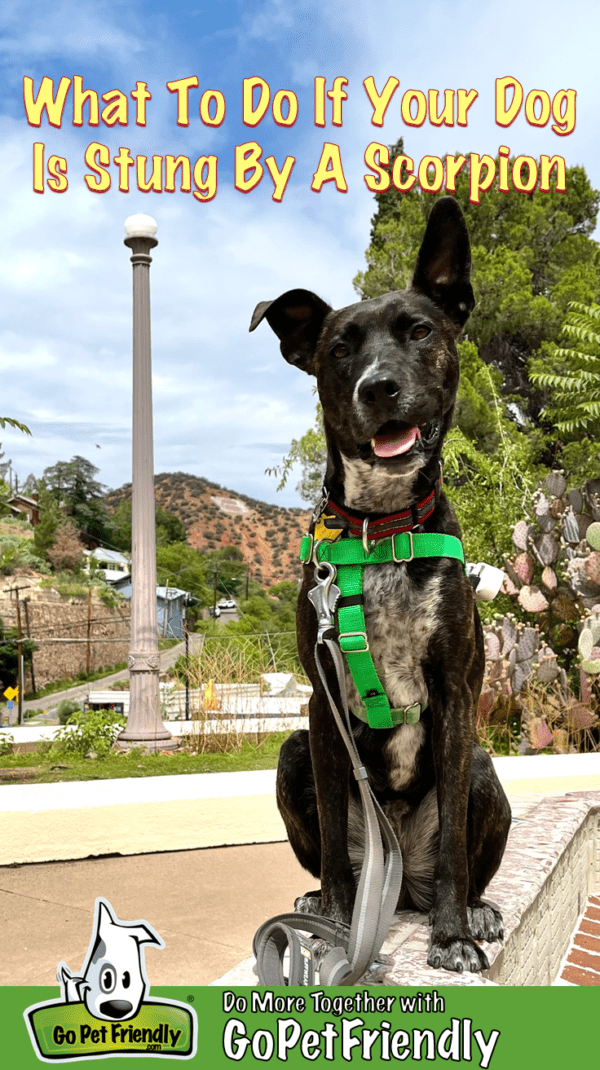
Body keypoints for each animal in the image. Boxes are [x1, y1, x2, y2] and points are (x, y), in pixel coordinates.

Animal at [248, 196, 509, 975]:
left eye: (419, 330)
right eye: (340, 349)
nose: (379, 386)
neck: (379, 527)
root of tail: (399, 889)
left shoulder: (455, 693)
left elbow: (454, 845)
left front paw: (451, 937)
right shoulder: (321, 706)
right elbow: (336, 842)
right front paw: (333, 924)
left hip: (481, 764)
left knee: (462, 860)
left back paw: (472, 910)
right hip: (293, 753)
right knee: (336, 851)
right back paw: (320, 902)